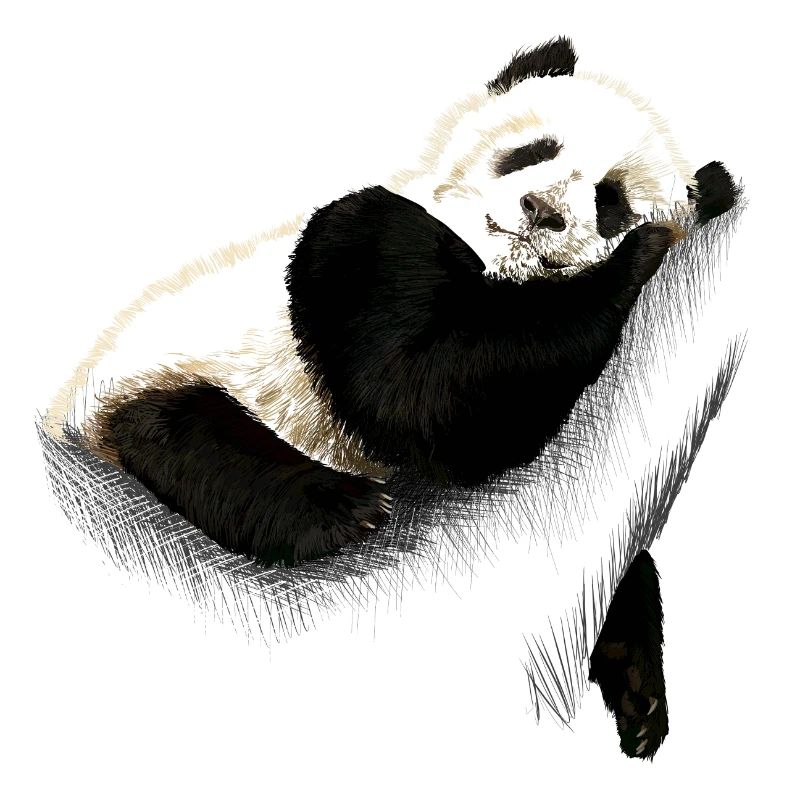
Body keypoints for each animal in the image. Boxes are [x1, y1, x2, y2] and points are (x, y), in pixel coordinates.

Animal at [42, 37, 738, 758]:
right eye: (534, 151)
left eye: (610, 202)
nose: (543, 211)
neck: (494, 263)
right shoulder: (361, 236)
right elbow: (415, 394)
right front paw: (637, 256)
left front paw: (639, 690)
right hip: (160, 377)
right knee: (184, 435)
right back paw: (338, 507)